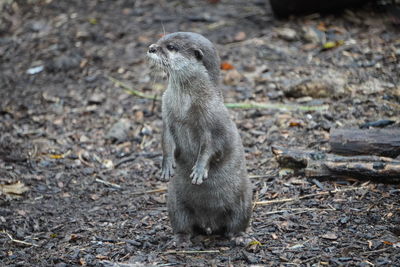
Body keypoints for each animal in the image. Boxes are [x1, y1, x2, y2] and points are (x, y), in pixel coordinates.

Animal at [147, 31, 253, 245]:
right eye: (161, 40)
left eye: (171, 47)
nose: (151, 47)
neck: (185, 109)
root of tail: (209, 223)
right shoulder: (167, 113)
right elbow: (166, 140)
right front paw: (166, 165)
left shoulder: (214, 122)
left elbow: (212, 147)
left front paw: (199, 169)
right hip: (174, 201)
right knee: (183, 224)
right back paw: (180, 239)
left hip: (245, 198)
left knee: (236, 223)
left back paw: (238, 237)